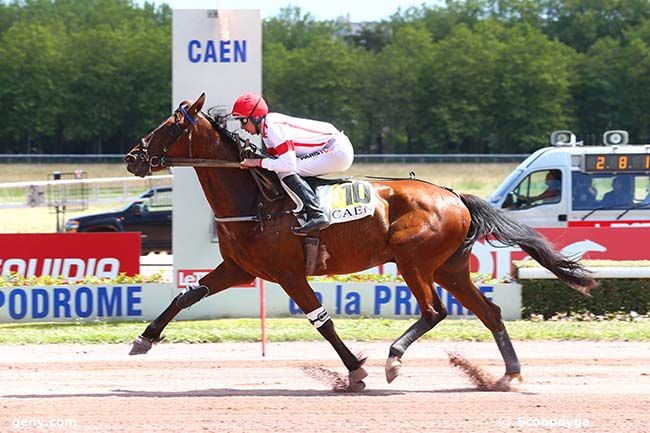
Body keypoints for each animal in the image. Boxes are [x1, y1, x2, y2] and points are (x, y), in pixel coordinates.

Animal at [124, 93, 596, 390]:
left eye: (168, 127)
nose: (132, 157)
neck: (255, 200)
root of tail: (455, 196)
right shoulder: (241, 267)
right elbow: (186, 295)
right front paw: (144, 338)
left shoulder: (287, 272)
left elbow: (322, 321)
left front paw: (355, 371)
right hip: (450, 268)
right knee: (490, 312)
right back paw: (509, 374)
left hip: (412, 260)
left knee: (435, 311)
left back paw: (394, 357)